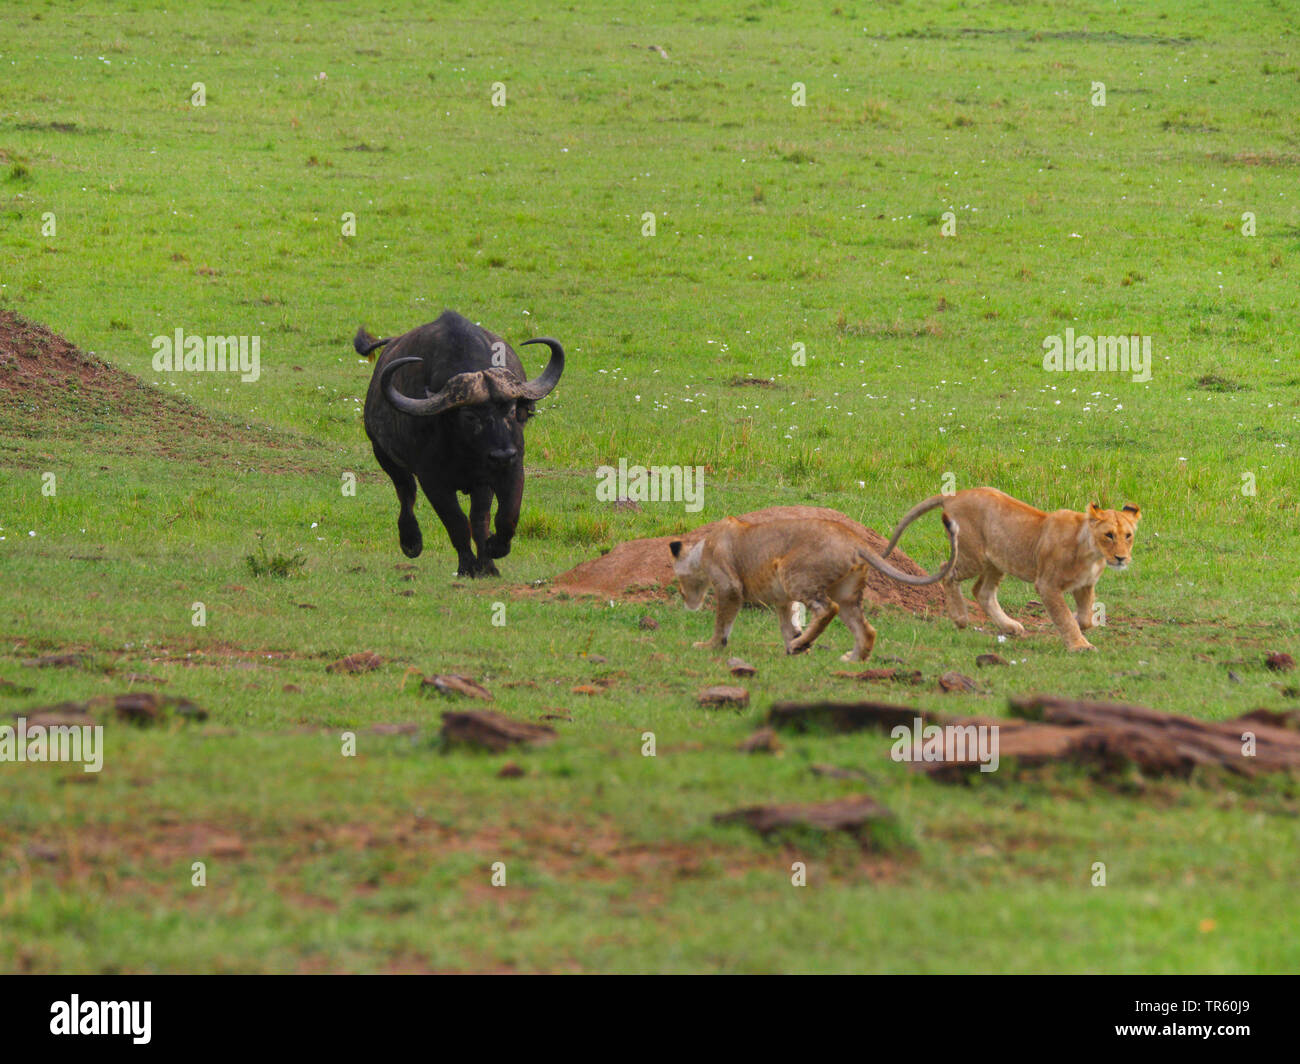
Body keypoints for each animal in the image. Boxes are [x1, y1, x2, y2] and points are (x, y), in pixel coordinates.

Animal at [356, 306, 564, 577]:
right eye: (469, 416)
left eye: (510, 410)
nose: (502, 455)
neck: (466, 451)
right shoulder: (432, 481)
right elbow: (456, 523)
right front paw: (467, 566)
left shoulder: (510, 469)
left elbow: (503, 516)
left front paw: (493, 553)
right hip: (384, 455)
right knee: (406, 492)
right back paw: (411, 542)